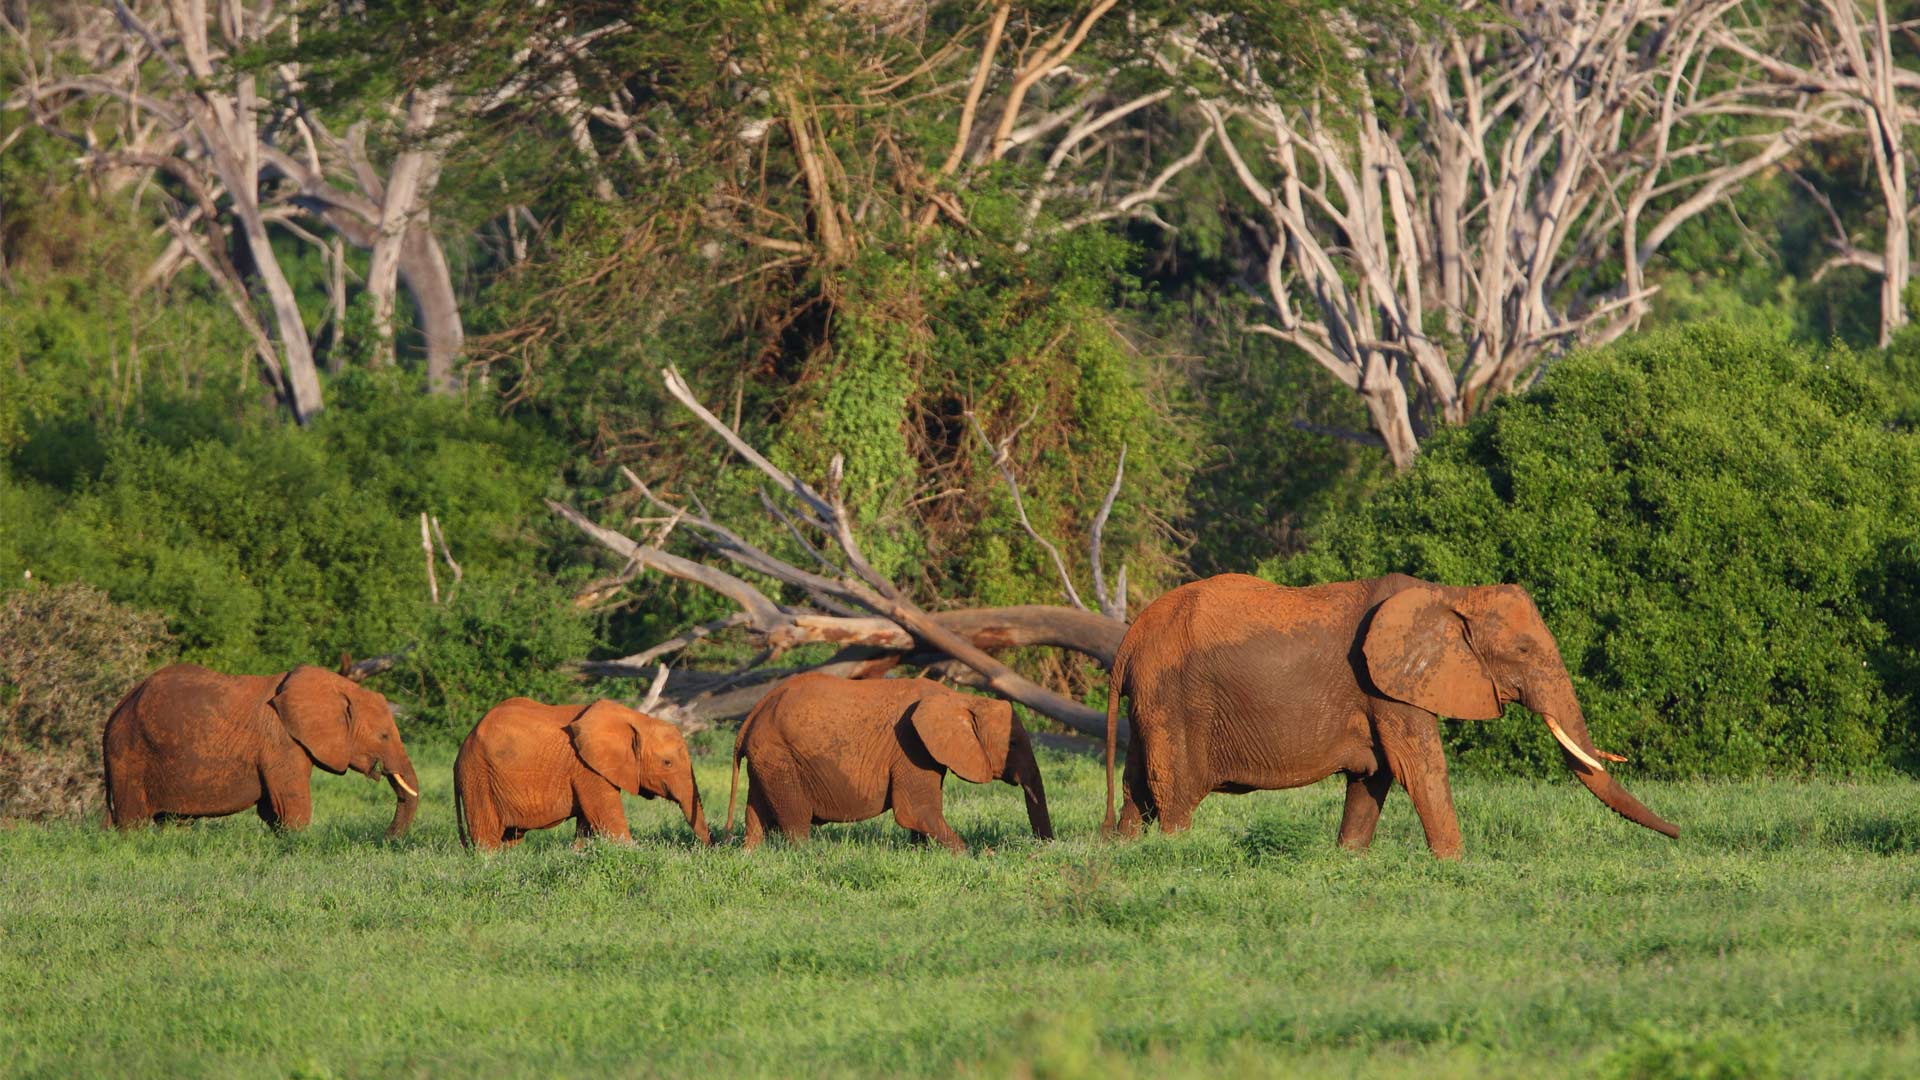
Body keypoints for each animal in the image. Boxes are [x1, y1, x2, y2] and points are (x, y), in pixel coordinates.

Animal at [103, 663, 421, 836]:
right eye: (383, 735)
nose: (386, 837)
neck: (340, 687)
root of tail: (117, 707)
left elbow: (272, 810)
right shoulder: (280, 743)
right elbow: (290, 806)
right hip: (129, 754)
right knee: (132, 822)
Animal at [453, 697, 711, 850]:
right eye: (667, 762)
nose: (709, 847)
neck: (636, 719)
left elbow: (587, 824)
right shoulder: (587, 768)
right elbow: (607, 817)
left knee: (510, 838)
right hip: (478, 778)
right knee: (487, 839)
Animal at [725, 673, 1054, 853]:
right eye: (1013, 744)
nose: (1044, 846)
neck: (958, 698)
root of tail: (752, 715)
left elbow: (917, 814)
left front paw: (920, 854)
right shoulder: (911, 744)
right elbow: (916, 811)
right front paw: (973, 856)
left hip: (767, 759)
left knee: (756, 816)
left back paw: (749, 854)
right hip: (780, 756)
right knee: (795, 823)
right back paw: (807, 855)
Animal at [1102, 573, 1679, 858]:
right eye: (1521, 652)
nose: (1680, 834)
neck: (1451, 594)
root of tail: (1129, 642)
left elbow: (1373, 776)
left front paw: (1349, 861)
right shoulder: (1386, 686)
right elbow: (1418, 767)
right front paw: (1455, 865)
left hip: (1150, 705)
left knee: (1136, 792)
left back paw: (1122, 853)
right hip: (1174, 702)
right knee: (1174, 799)